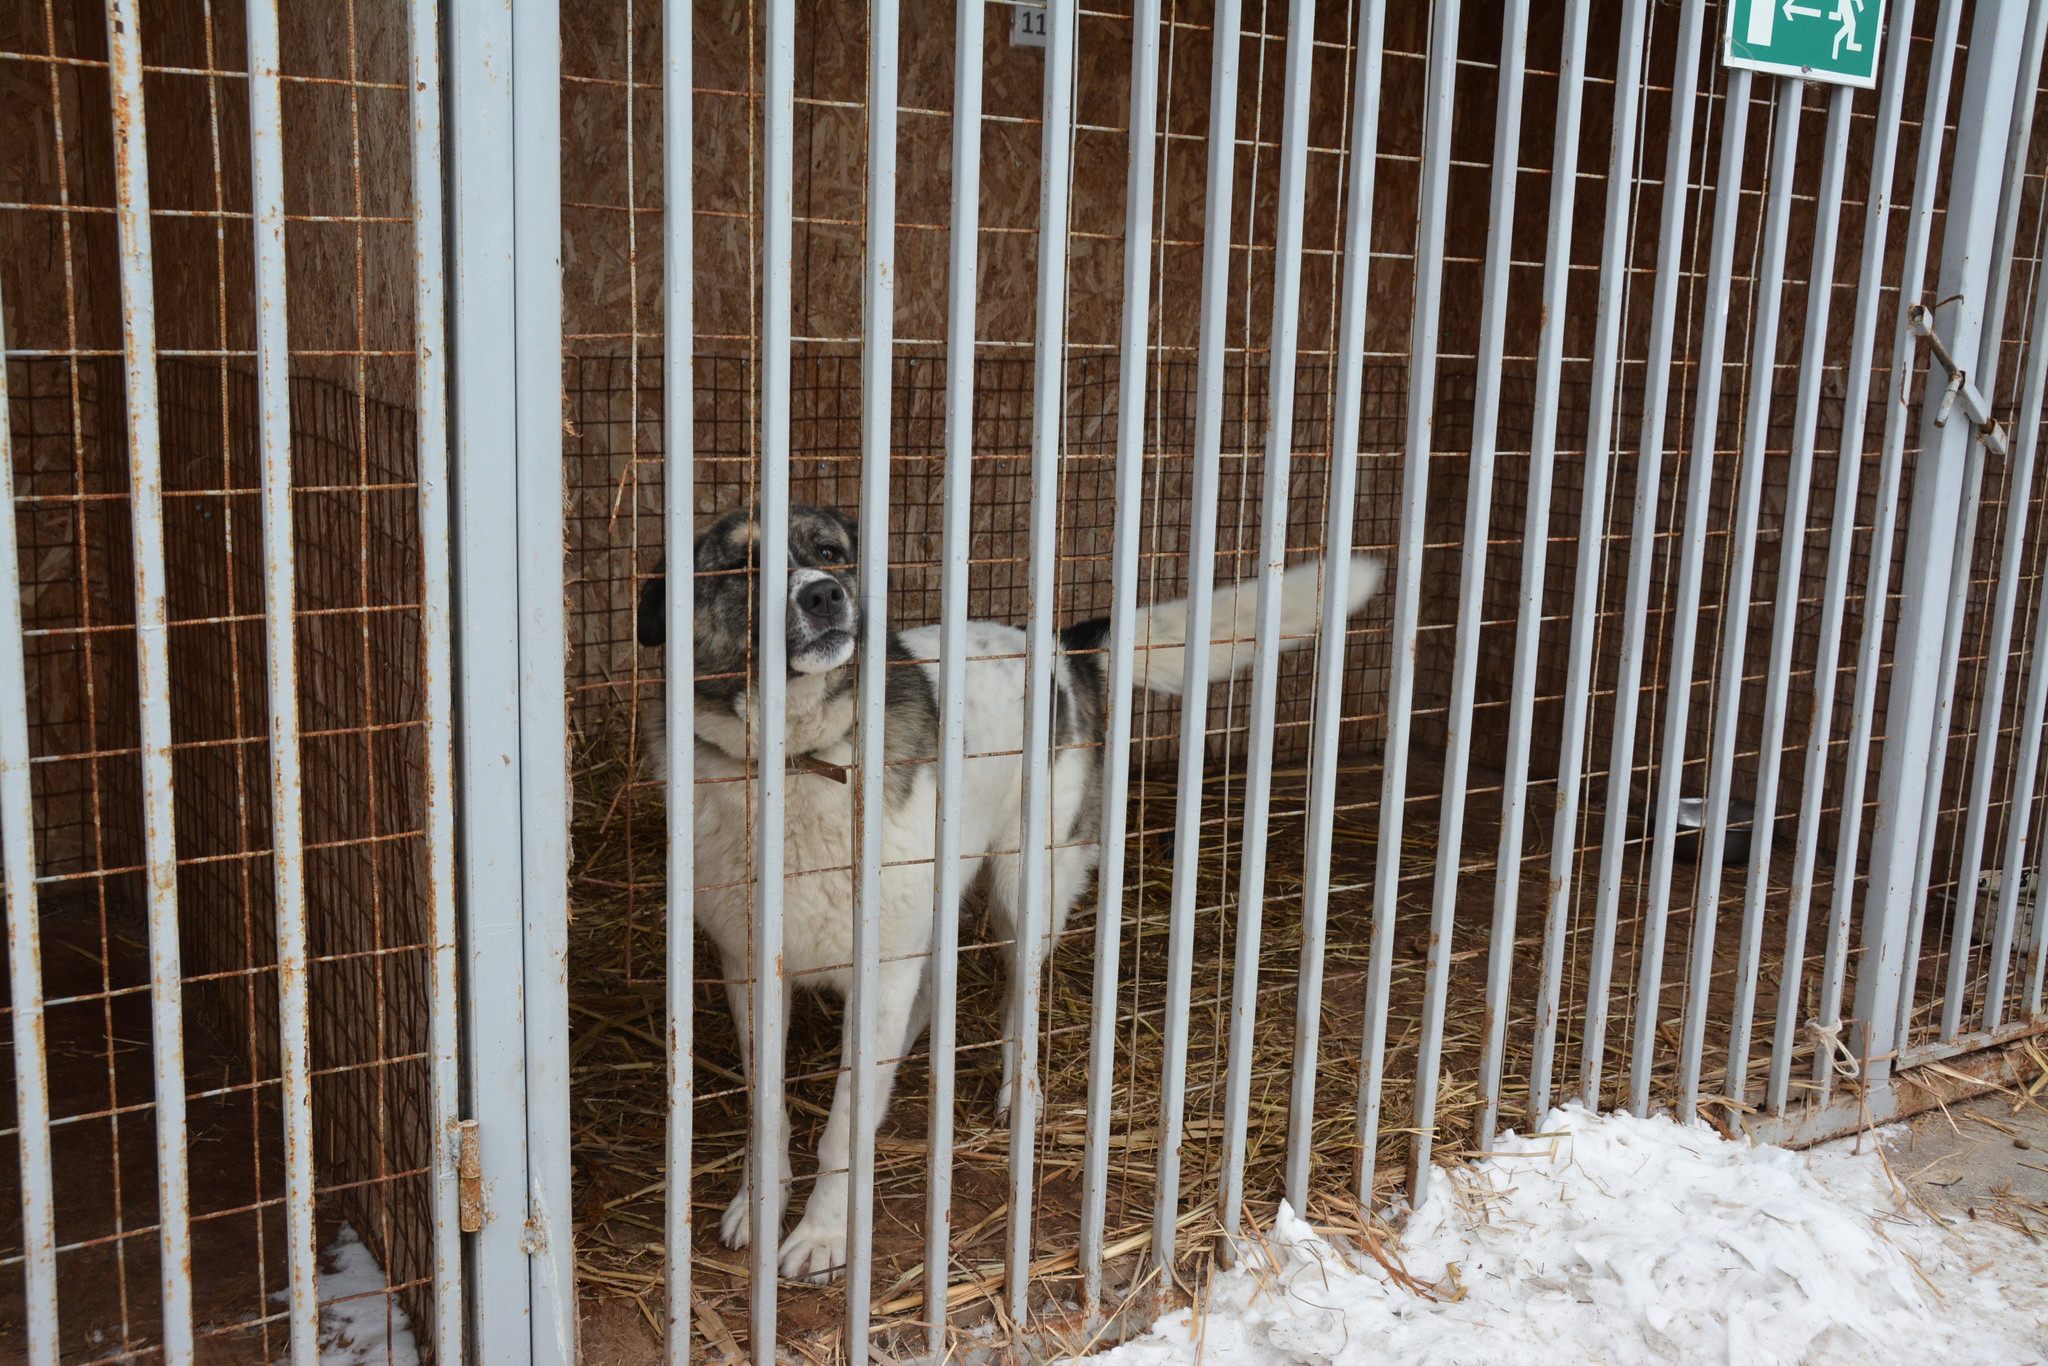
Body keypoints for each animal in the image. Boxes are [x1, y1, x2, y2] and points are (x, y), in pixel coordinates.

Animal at [630, 501, 1384, 1286]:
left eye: (831, 554)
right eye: (739, 567)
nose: (825, 596)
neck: (797, 762)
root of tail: (1055, 645)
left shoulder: (881, 967)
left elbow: (841, 1129)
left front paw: (825, 1234)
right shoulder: (751, 973)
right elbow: (766, 1111)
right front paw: (760, 1201)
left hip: (1027, 895)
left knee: (1020, 1001)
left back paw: (1020, 1099)